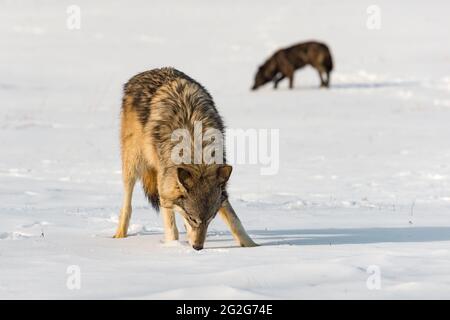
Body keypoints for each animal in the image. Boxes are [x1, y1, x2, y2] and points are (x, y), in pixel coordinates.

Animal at [114, 67, 258, 250]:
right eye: (193, 218)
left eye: (210, 220)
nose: (198, 247)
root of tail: (147, 72)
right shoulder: (165, 187)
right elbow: (172, 227)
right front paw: (174, 245)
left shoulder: (220, 191)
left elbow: (235, 221)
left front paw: (253, 246)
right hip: (133, 163)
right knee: (127, 203)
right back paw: (120, 235)